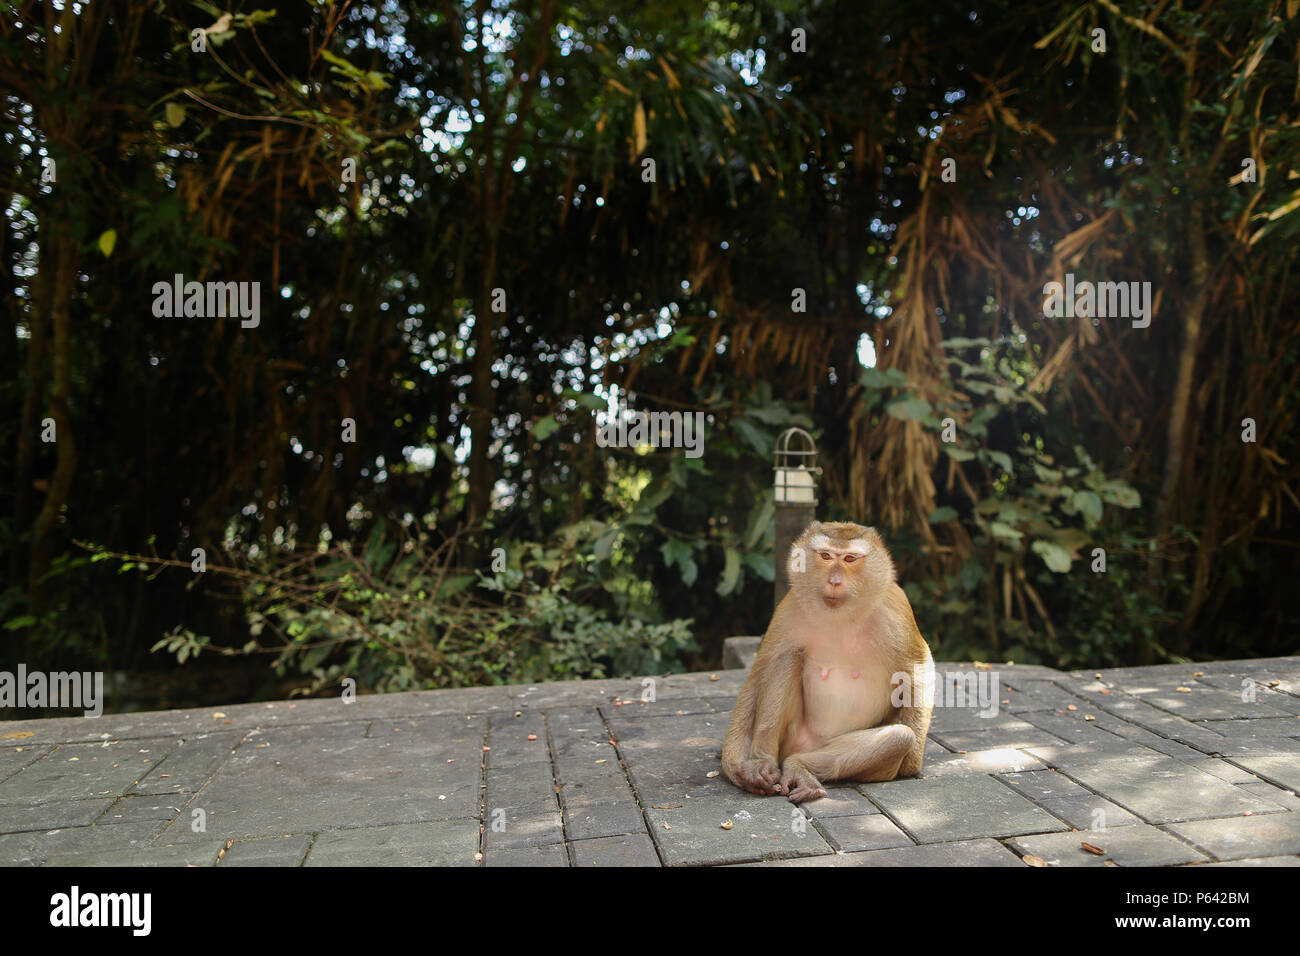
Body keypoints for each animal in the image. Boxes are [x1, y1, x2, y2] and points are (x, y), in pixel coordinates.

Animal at [722, 522, 935, 801]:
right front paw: (736, 766)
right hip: (791, 738)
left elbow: (918, 668)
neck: (841, 616)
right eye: (825, 556)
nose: (834, 581)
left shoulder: (895, 610)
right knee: (785, 658)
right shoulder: (789, 608)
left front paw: (911, 763)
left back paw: (800, 767)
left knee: (899, 737)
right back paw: (763, 763)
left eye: (849, 559)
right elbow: (760, 672)